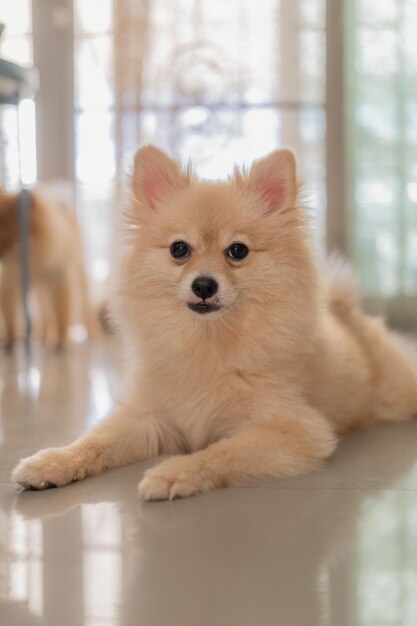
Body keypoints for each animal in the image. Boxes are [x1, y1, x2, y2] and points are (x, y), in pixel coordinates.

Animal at [0, 188, 96, 348]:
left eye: (9, 240)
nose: (0, 254)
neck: (33, 261)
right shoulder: (10, 282)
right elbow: (10, 318)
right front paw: (10, 339)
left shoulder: (59, 278)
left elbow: (62, 313)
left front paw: (62, 340)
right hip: (41, 292)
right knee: (46, 315)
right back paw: (44, 335)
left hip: (78, 274)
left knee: (86, 306)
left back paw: (93, 332)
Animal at [11, 145, 416, 498]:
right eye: (179, 249)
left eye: (237, 250)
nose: (204, 284)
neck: (207, 342)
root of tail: (346, 310)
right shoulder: (147, 418)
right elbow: (94, 441)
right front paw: (53, 462)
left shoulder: (293, 429)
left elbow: (220, 452)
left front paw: (174, 472)